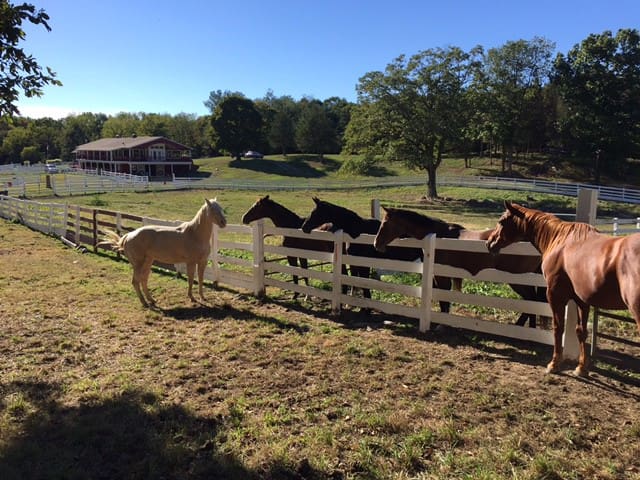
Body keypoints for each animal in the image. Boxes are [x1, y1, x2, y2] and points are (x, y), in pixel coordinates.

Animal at [97, 198, 228, 308]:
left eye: (221, 208)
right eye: (212, 209)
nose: (224, 222)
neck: (195, 234)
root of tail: (128, 236)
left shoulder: (203, 261)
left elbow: (200, 279)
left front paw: (202, 297)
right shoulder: (190, 262)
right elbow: (191, 279)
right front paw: (192, 298)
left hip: (148, 261)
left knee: (143, 279)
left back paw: (151, 300)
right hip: (138, 264)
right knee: (135, 281)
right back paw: (144, 302)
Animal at [372, 204, 548, 328]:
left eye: (385, 223)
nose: (376, 244)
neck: (438, 236)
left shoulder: (442, 276)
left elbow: (444, 300)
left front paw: (442, 324)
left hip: (519, 281)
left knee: (532, 302)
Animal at [488, 201, 636, 376]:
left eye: (502, 221)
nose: (489, 242)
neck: (560, 240)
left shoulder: (555, 295)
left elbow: (558, 328)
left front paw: (554, 364)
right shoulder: (581, 300)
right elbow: (581, 331)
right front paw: (581, 368)